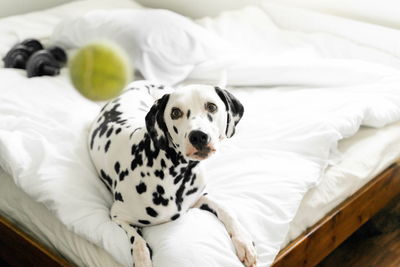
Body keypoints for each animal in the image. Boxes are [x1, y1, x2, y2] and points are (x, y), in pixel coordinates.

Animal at [88, 81, 256, 267]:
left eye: (211, 106)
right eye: (175, 112)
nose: (198, 136)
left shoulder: (198, 198)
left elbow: (226, 210)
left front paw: (244, 241)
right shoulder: (117, 215)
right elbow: (136, 239)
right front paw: (141, 256)